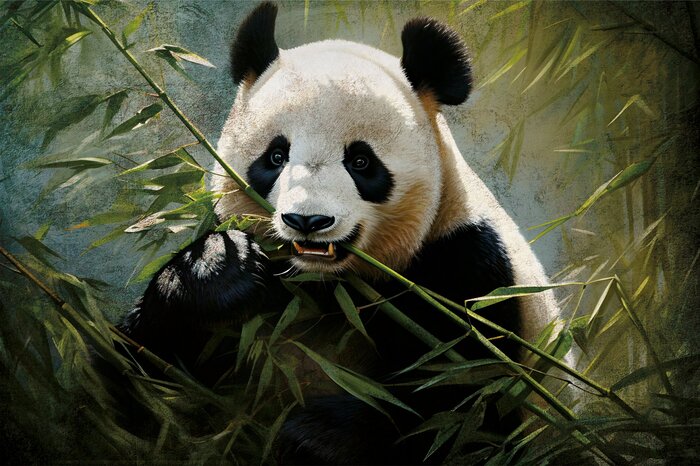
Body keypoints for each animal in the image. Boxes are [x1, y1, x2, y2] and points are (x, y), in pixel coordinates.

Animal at [118, 2, 560, 464]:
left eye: (361, 161)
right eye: (276, 156)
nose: (308, 221)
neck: (329, 284)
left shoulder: (467, 270)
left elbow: (462, 407)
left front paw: (319, 436)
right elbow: (146, 384)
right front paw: (216, 267)